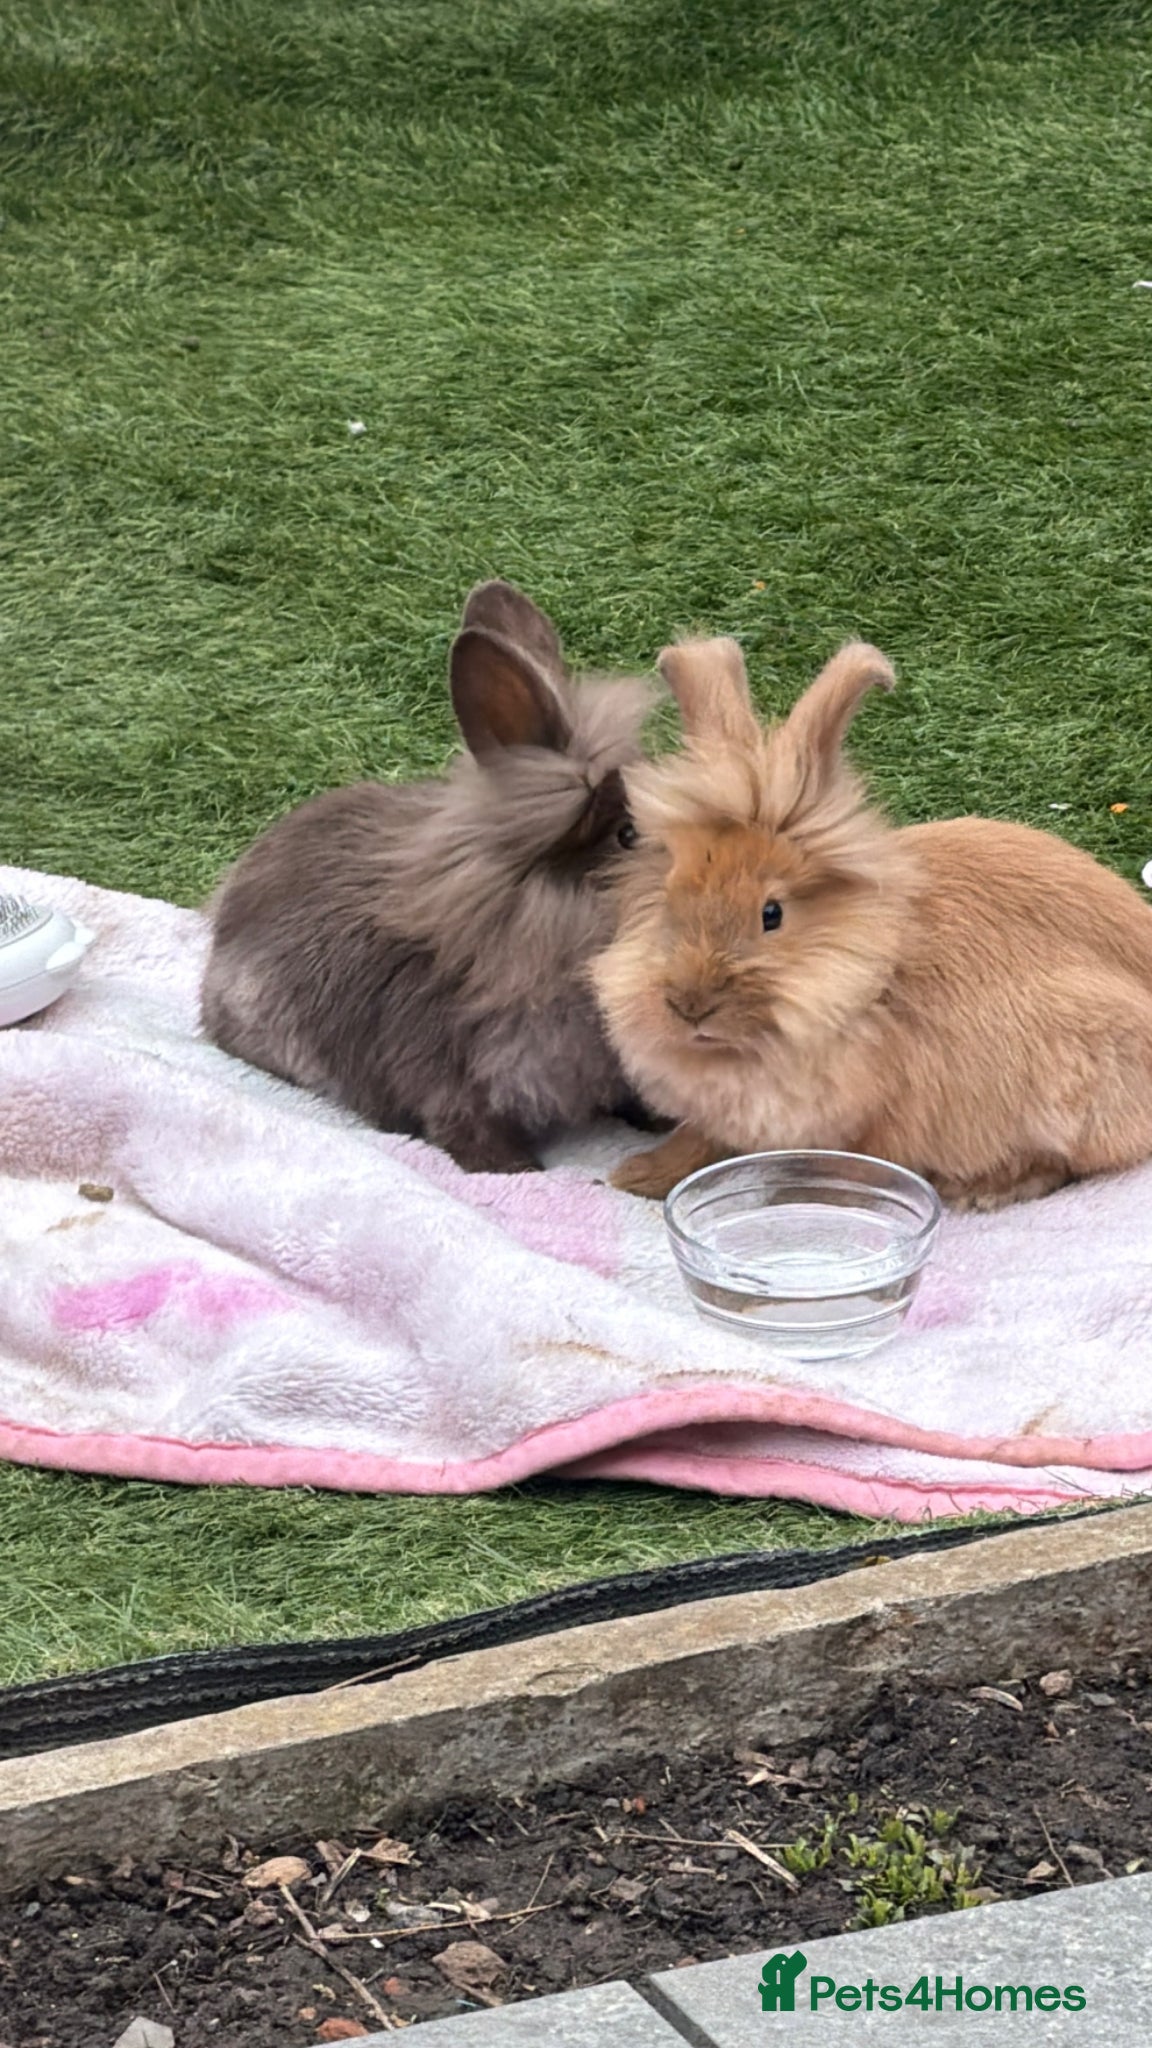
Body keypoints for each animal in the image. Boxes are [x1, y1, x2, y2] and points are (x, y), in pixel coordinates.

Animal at [591, 633, 1152, 1208]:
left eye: (772, 914)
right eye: (669, 895)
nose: (690, 1006)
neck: (866, 980)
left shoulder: (883, 1117)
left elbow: (858, 1166)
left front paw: (798, 1198)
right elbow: (696, 1141)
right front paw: (636, 1177)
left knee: (1063, 1164)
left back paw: (981, 1190)